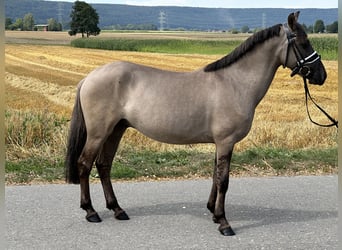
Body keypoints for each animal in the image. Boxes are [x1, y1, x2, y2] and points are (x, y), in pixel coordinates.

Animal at [66, 11, 326, 234]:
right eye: (304, 42)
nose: (322, 75)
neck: (235, 82)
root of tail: (89, 77)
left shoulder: (221, 143)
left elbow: (215, 176)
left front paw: (213, 213)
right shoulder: (226, 141)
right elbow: (223, 180)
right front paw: (224, 222)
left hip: (115, 130)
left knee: (104, 165)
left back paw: (117, 209)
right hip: (99, 133)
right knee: (85, 164)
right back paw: (91, 211)